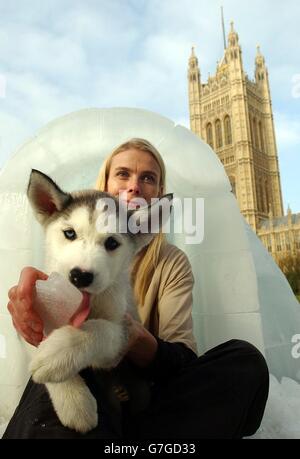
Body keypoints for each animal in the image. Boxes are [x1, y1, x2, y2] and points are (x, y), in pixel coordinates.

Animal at [27, 170, 172, 434]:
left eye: (112, 243)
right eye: (70, 233)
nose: (80, 276)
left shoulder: (122, 331)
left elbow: (96, 329)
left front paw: (56, 354)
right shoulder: (34, 312)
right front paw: (75, 402)